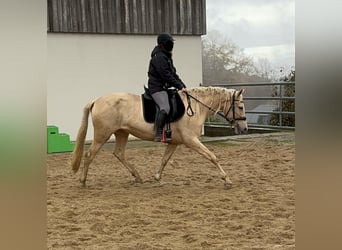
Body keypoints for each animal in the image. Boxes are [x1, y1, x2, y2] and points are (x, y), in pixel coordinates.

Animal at [71, 87, 248, 188]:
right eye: (240, 107)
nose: (244, 128)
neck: (195, 107)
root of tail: (96, 101)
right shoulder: (191, 140)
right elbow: (212, 156)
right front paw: (227, 180)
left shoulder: (175, 142)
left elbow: (164, 159)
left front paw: (157, 178)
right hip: (102, 135)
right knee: (89, 155)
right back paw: (82, 181)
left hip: (122, 133)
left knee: (119, 153)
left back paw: (138, 177)